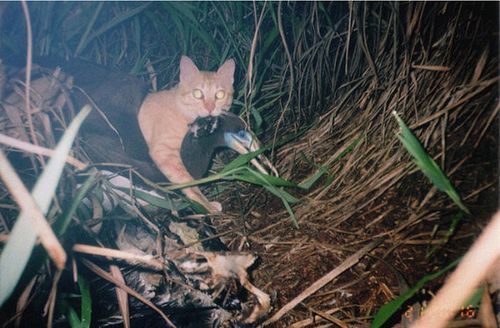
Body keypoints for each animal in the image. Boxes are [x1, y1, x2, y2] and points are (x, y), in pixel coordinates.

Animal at [138, 56, 235, 213]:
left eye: (220, 94)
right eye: (197, 93)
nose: (210, 108)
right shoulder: (164, 153)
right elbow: (188, 183)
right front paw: (206, 205)